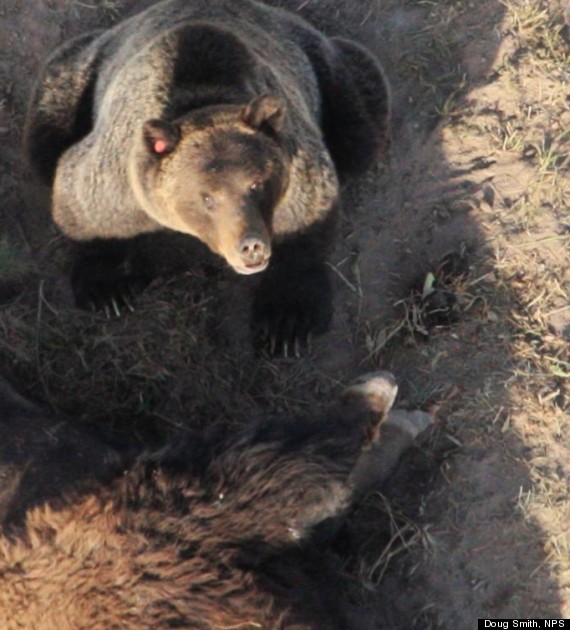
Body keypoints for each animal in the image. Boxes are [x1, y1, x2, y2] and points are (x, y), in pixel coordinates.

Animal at [26, 0, 390, 356]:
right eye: (207, 197)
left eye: (256, 183)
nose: (250, 245)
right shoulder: (121, 182)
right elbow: (83, 205)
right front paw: (107, 290)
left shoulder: (296, 176)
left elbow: (307, 226)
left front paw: (286, 325)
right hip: (80, 70)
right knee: (47, 130)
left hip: (327, 70)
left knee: (361, 124)